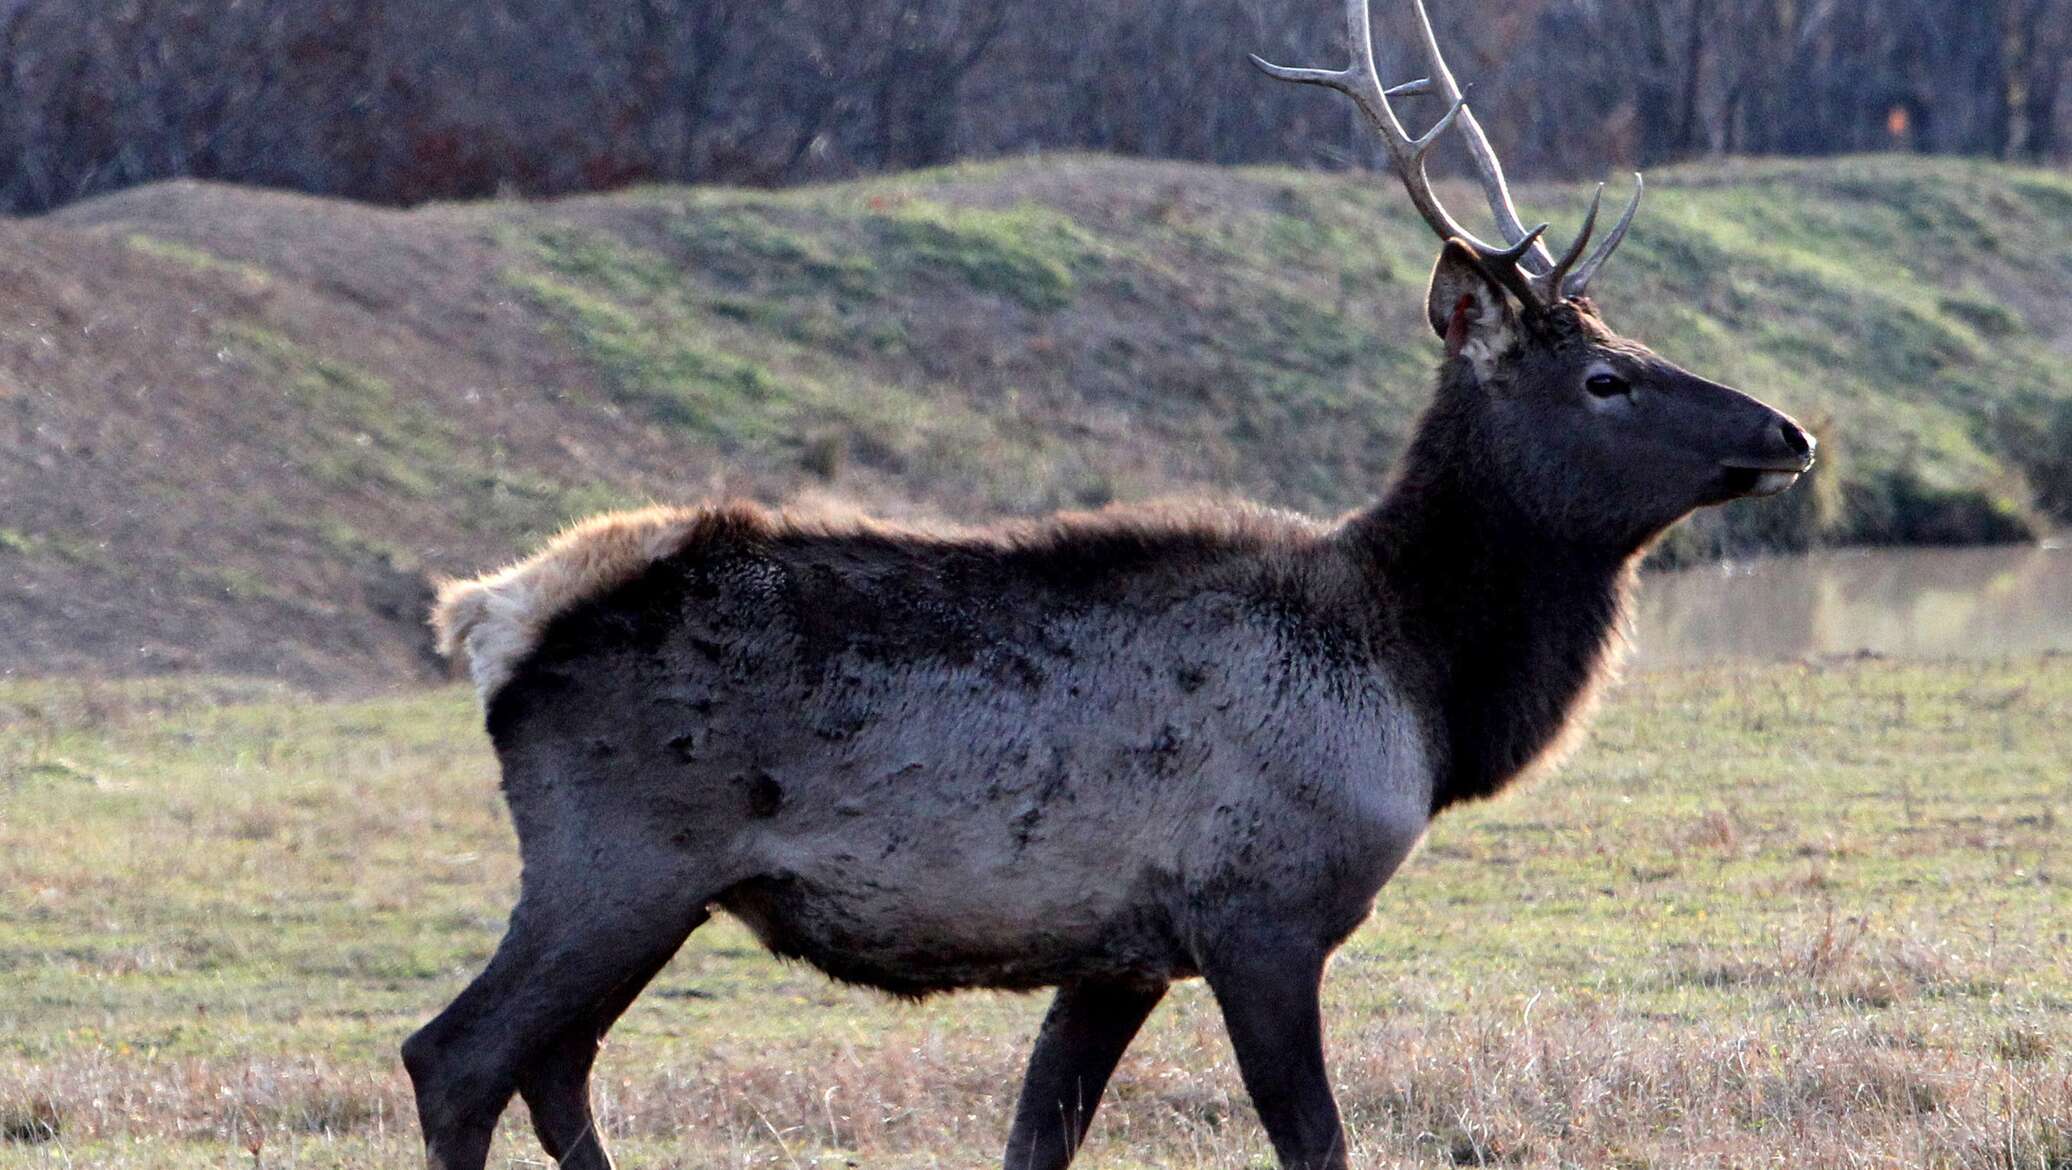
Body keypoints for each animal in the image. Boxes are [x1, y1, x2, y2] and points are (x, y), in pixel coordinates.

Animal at [399, 2, 1815, 1167]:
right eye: (1604, 379)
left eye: (1632, 344)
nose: (1790, 433)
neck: (1420, 687)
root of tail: (493, 615)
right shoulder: (1257, 910)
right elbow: (1314, 1141)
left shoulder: (1119, 950)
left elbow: (1039, 1135)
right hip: (615, 857)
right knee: (456, 1058)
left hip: (650, 886)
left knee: (557, 1069)